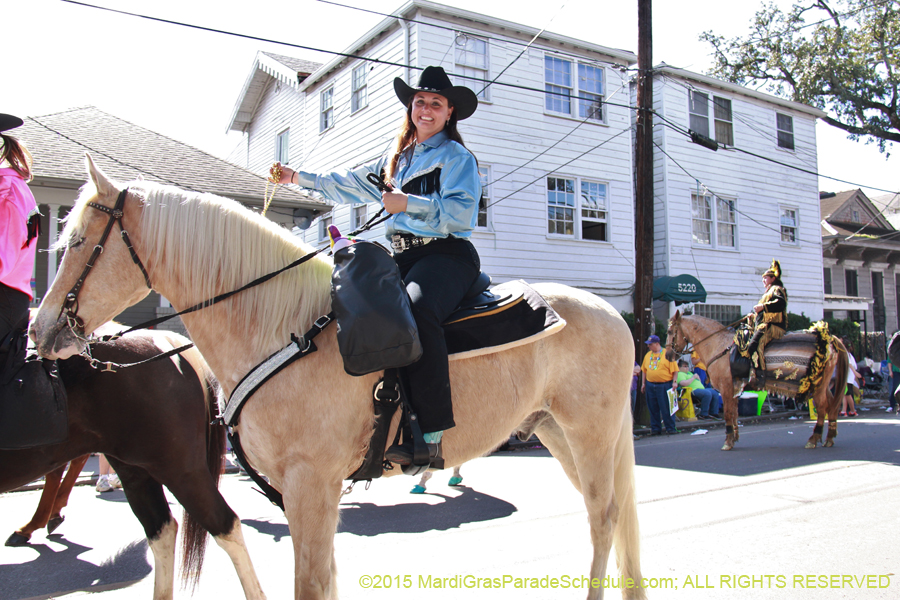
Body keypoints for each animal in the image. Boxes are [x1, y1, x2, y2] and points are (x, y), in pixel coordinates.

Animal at [29, 157, 648, 596]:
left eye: (77, 241)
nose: (41, 331)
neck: (282, 329)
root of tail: (613, 315)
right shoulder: (306, 494)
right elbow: (323, 580)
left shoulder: (311, 485)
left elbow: (309, 582)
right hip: (557, 432)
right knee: (609, 517)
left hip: (590, 435)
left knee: (604, 518)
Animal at [664, 312, 848, 448]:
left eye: (670, 332)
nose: (668, 356)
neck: (718, 346)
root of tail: (830, 340)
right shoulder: (734, 388)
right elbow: (735, 413)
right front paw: (734, 437)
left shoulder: (726, 388)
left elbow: (729, 413)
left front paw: (728, 441)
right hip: (822, 385)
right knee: (832, 404)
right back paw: (829, 438)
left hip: (818, 386)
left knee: (823, 408)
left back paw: (814, 439)